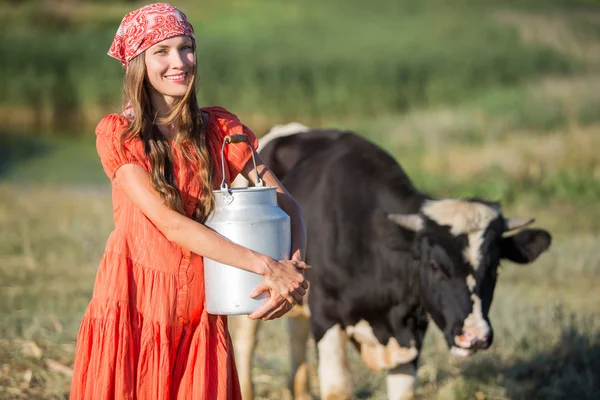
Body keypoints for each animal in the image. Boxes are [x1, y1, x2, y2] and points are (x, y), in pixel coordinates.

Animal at [231, 123, 552, 398]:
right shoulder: (326, 317)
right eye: (435, 266)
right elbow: (338, 390)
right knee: (246, 343)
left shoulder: (412, 331)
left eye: (495, 267)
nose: (474, 336)